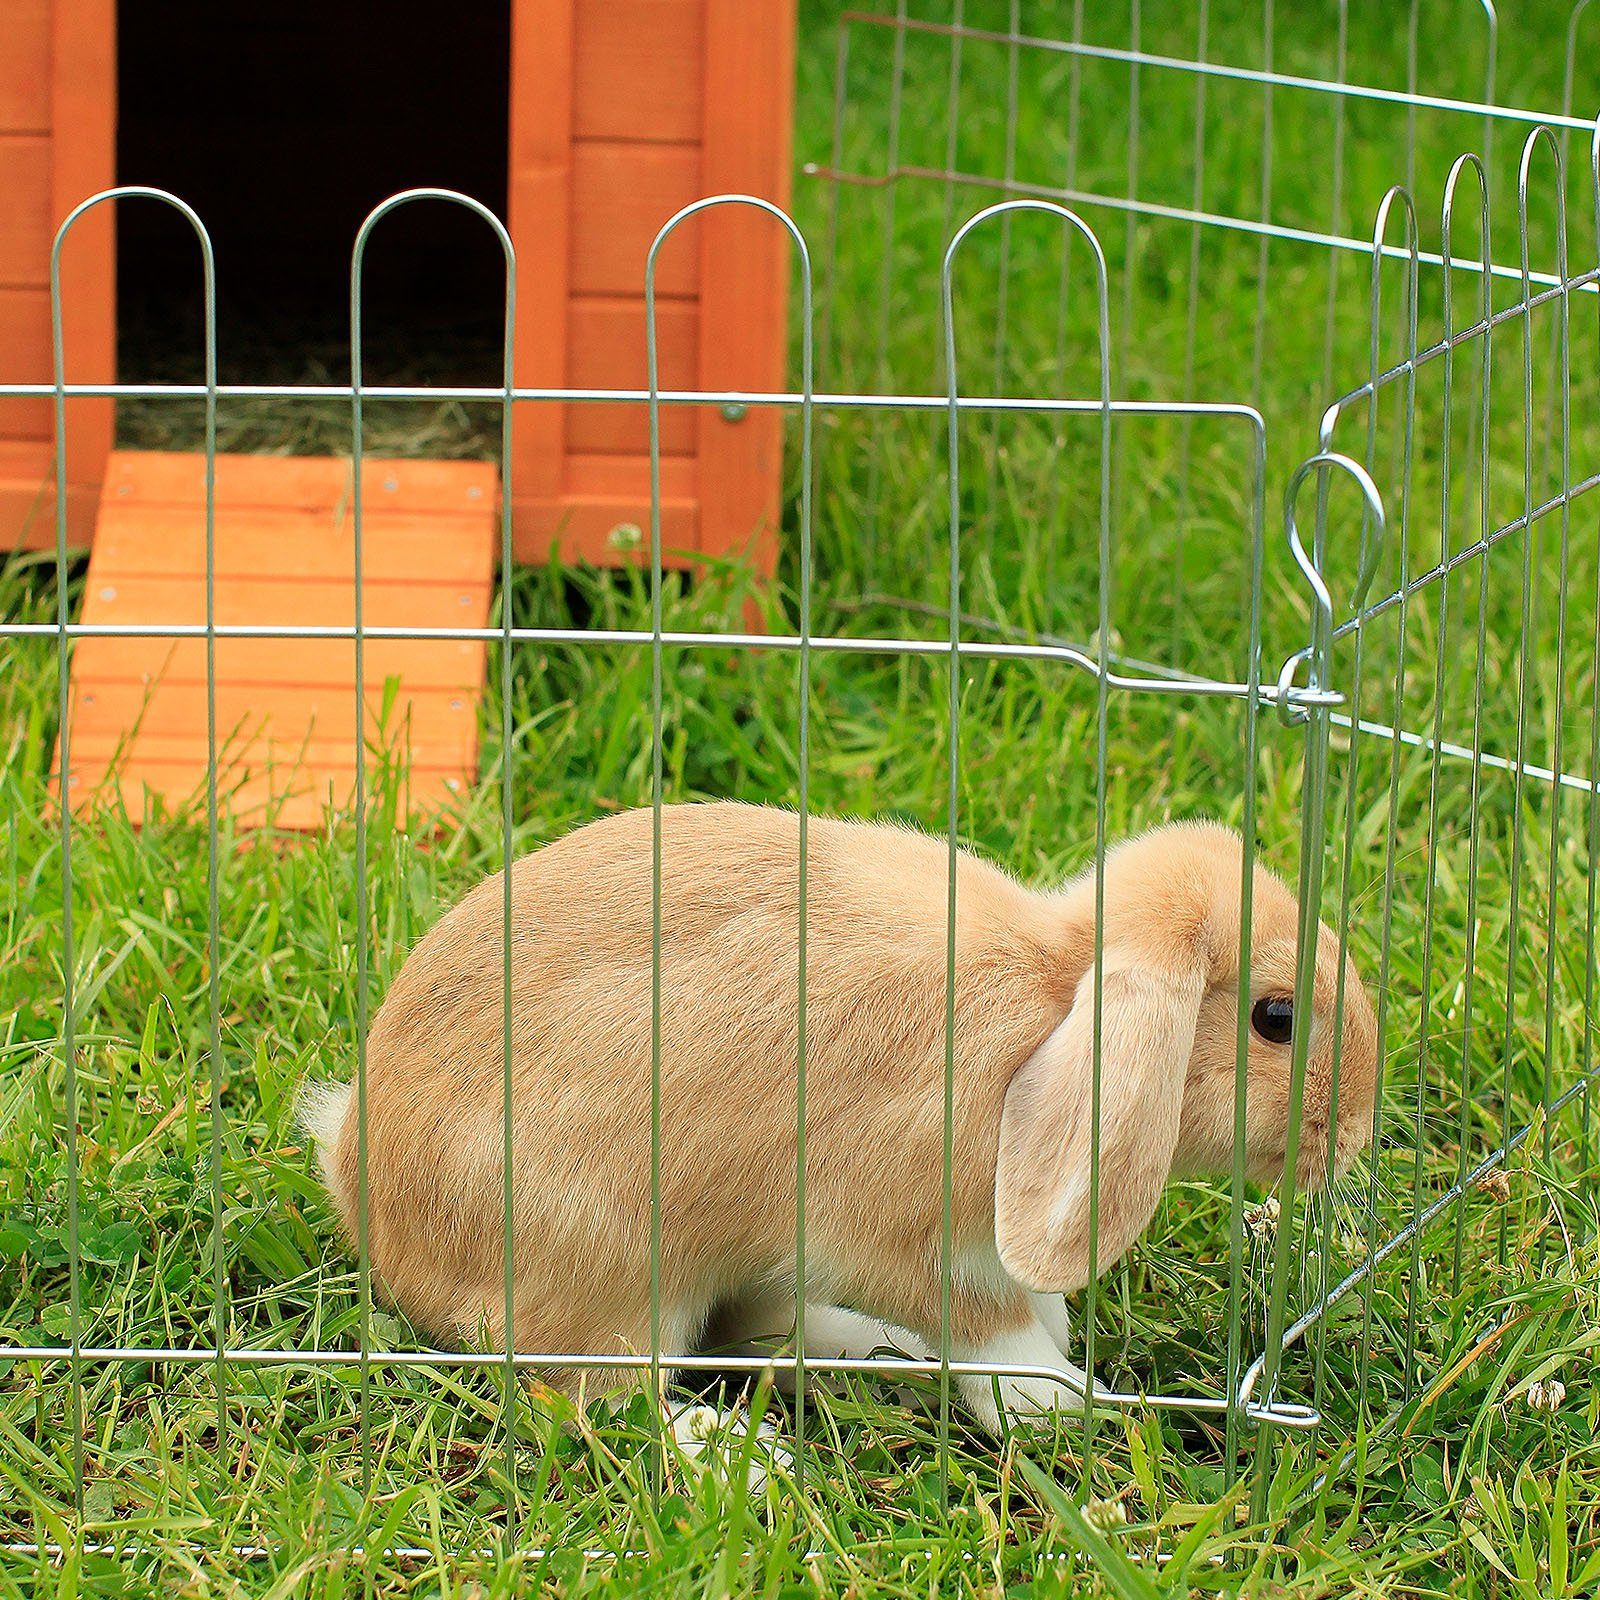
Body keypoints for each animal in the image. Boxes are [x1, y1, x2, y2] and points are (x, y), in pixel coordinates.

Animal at [299, 802, 1379, 1435]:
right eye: (1276, 1018)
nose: (1358, 1127)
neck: (1050, 1006)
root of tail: (368, 1198)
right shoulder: (887, 1226)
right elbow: (984, 1323)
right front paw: (1055, 1400)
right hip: (608, 1269)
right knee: (600, 1401)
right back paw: (736, 1459)